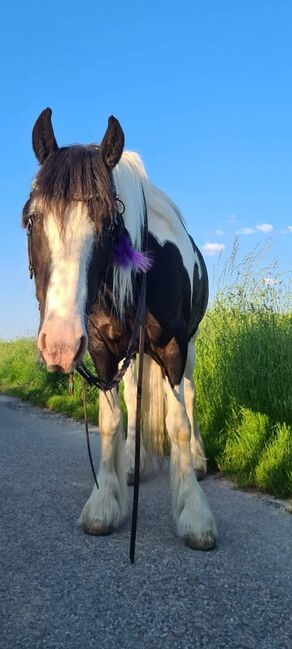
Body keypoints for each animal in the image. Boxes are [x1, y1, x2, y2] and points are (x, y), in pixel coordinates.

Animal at [22, 109, 217, 548]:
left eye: (109, 223)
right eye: (31, 218)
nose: (59, 344)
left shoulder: (174, 348)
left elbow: (178, 424)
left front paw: (194, 515)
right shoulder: (101, 349)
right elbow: (111, 421)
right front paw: (104, 505)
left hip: (190, 348)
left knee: (190, 396)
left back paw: (196, 462)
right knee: (135, 396)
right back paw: (133, 464)